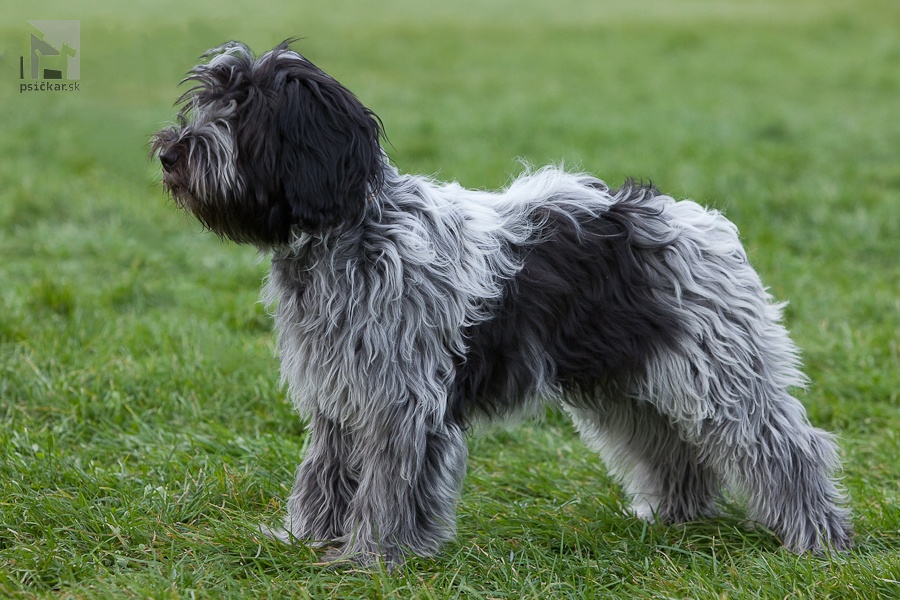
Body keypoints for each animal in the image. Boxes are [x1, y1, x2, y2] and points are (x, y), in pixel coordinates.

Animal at [153, 42, 852, 568]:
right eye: (210, 100)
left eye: (244, 110)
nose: (167, 151)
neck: (353, 230)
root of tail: (695, 220)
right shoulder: (339, 395)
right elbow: (324, 474)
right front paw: (306, 539)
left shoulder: (399, 402)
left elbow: (387, 486)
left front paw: (371, 556)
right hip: (627, 381)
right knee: (671, 449)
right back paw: (673, 517)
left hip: (718, 374)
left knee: (789, 447)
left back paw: (819, 538)